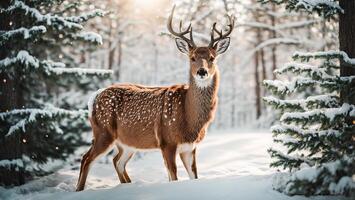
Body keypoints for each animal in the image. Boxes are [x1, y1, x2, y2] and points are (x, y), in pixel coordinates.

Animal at [76, 5, 234, 191]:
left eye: (212, 58)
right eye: (192, 58)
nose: (202, 72)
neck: (189, 118)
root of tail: (94, 97)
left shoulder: (190, 147)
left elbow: (194, 176)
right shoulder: (167, 141)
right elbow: (173, 176)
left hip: (126, 142)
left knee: (117, 161)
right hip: (103, 131)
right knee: (86, 158)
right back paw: (79, 190)